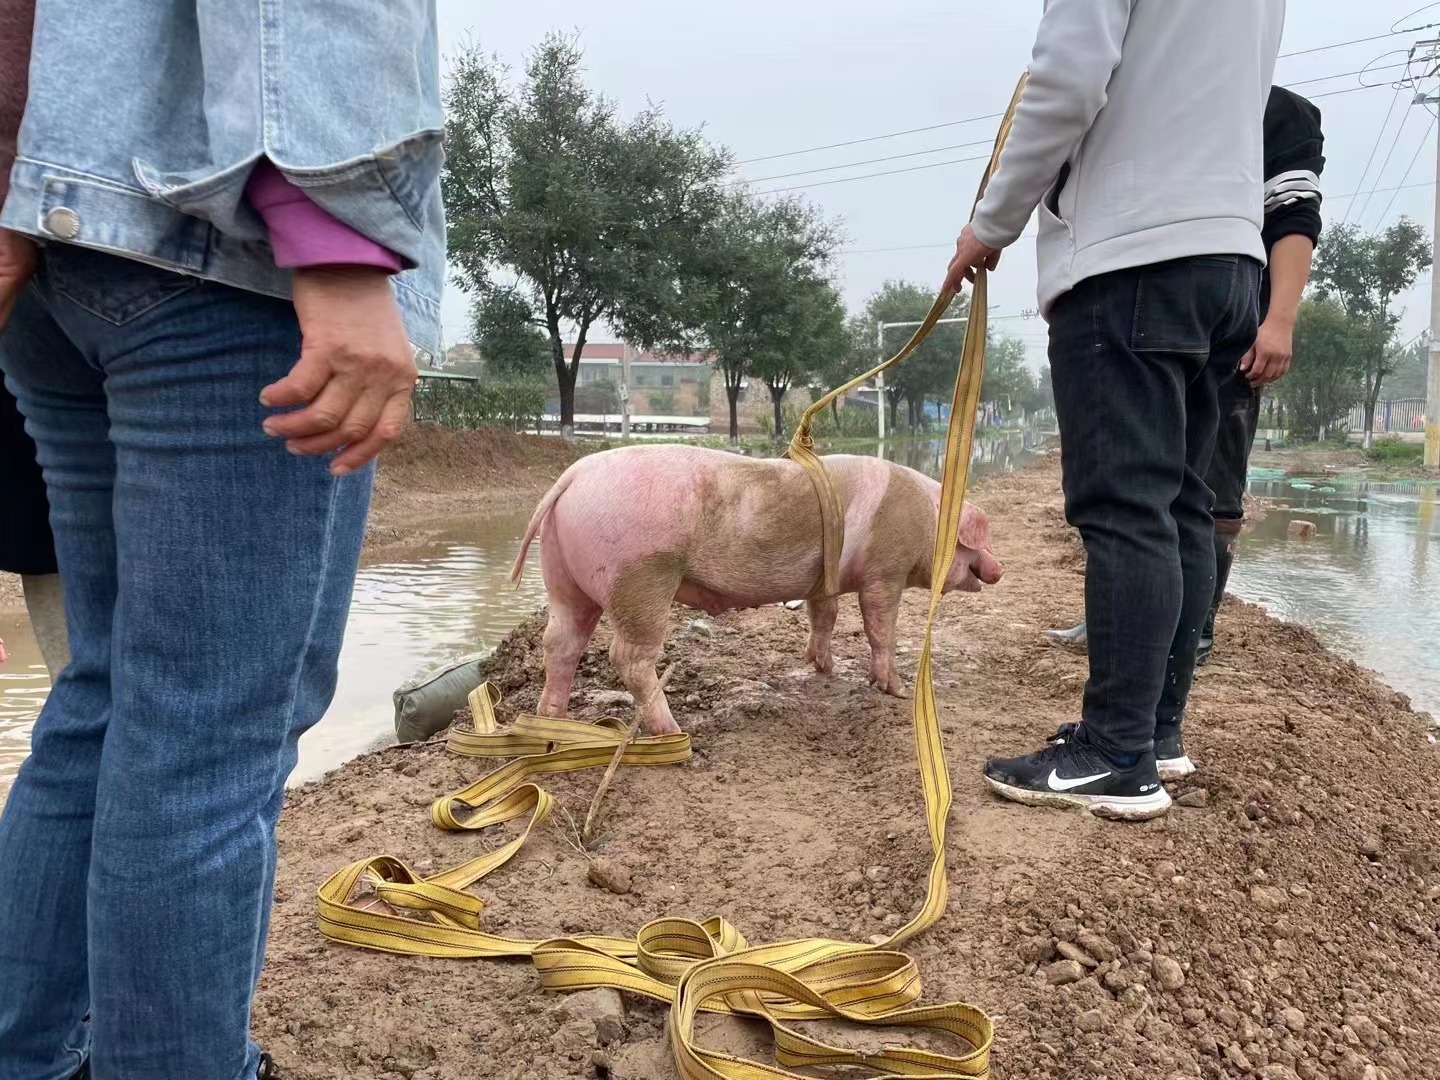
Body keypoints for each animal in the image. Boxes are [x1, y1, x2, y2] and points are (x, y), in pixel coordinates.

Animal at [515, 446, 1002, 737]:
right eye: (981, 540)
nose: (1000, 569)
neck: (928, 520)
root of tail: (571, 478)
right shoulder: (886, 571)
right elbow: (880, 627)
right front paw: (894, 690)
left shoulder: (823, 578)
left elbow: (824, 617)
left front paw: (823, 668)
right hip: (639, 576)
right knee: (628, 657)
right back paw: (673, 733)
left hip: (563, 578)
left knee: (559, 644)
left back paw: (551, 720)